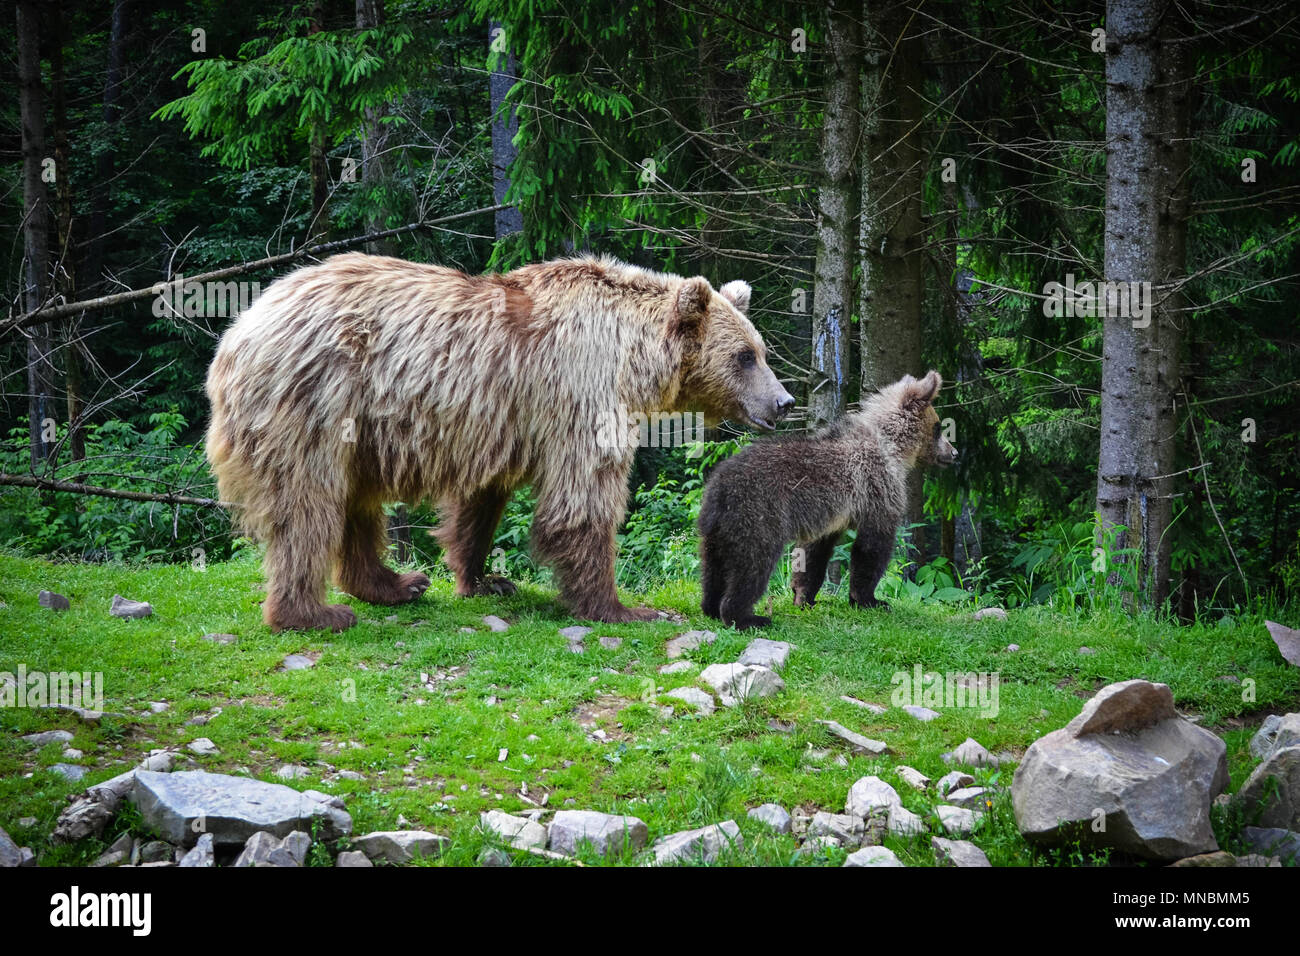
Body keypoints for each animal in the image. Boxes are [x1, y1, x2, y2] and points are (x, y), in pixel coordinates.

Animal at [205, 252, 794, 632]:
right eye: (745, 356)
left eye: (761, 350)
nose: (783, 402)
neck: (634, 355)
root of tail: (239, 329)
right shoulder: (583, 392)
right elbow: (584, 499)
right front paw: (622, 607)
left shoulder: (503, 421)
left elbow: (481, 502)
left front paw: (484, 579)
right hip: (317, 400)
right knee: (306, 506)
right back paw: (315, 614)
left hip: (359, 431)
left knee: (355, 502)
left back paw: (397, 583)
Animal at [697, 370, 957, 629]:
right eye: (938, 427)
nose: (953, 453)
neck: (891, 446)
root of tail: (718, 486)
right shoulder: (877, 490)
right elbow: (871, 548)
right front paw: (870, 600)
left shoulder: (829, 516)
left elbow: (813, 554)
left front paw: (804, 597)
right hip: (758, 514)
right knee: (753, 566)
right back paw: (747, 617)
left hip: (717, 529)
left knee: (713, 568)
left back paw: (711, 607)